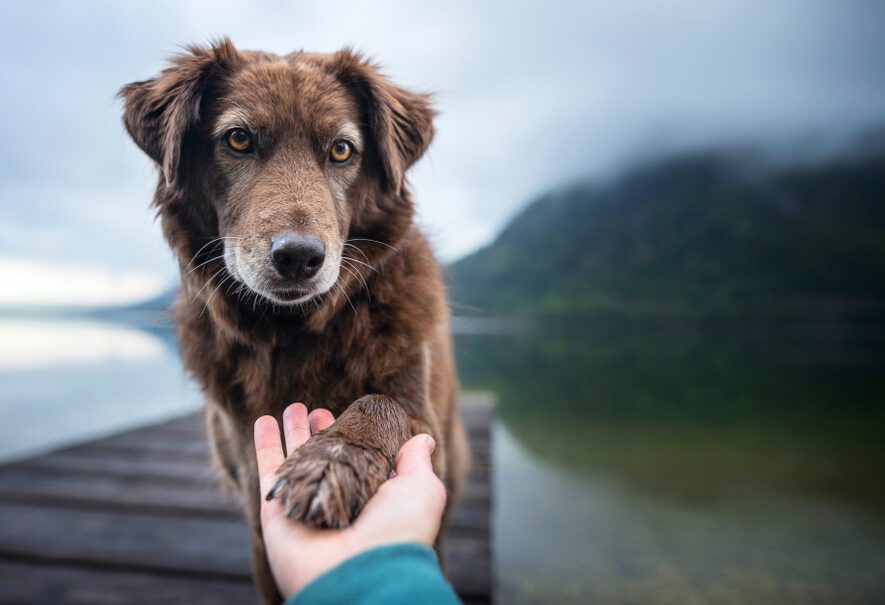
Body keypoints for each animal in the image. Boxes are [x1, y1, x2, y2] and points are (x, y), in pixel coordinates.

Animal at [121, 40, 474, 600]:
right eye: (238, 139)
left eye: (342, 150)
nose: (299, 258)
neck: (292, 331)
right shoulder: (253, 506)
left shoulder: (423, 425)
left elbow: (380, 405)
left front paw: (333, 461)